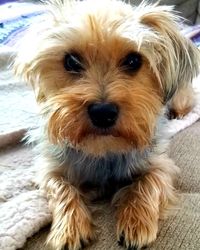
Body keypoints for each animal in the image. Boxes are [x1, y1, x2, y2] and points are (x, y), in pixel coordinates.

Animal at [13, 0, 200, 250]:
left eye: (133, 60)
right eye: (71, 61)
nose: (103, 113)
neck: (103, 147)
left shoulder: (160, 164)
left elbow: (149, 182)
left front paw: (136, 223)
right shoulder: (49, 167)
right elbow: (61, 187)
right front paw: (69, 228)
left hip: (181, 97)